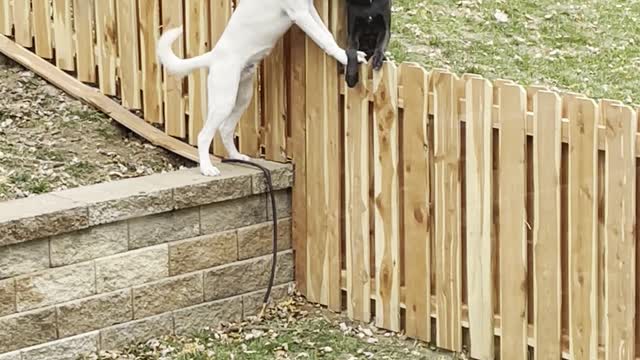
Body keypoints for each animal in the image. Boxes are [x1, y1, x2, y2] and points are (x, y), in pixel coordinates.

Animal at [158, 0, 364, 176]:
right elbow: (325, 40)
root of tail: (214, 56)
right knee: (203, 136)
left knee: (226, 129)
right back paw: (207, 168)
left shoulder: (308, 8)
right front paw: (345, 58)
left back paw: (236, 156)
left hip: (242, 97)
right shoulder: (300, 13)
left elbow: (327, 33)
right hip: (224, 101)